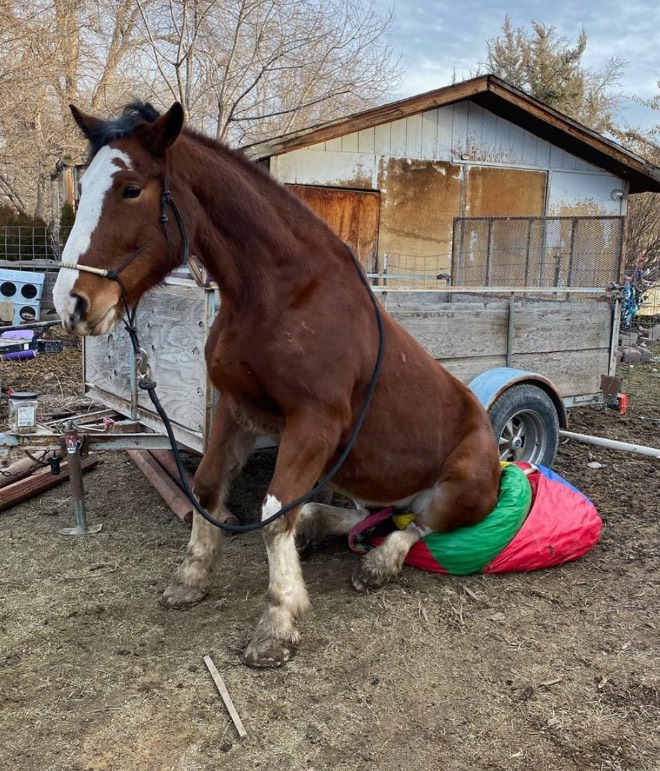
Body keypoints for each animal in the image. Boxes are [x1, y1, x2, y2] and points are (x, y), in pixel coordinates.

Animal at [54, 101, 500, 668]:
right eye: (84, 184)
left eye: (131, 189)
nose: (70, 302)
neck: (281, 298)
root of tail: (496, 447)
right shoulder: (235, 408)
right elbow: (207, 487)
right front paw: (191, 578)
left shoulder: (313, 425)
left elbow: (270, 513)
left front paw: (278, 620)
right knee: (368, 517)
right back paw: (318, 528)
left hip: (461, 492)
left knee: (418, 526)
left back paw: (377, 565)